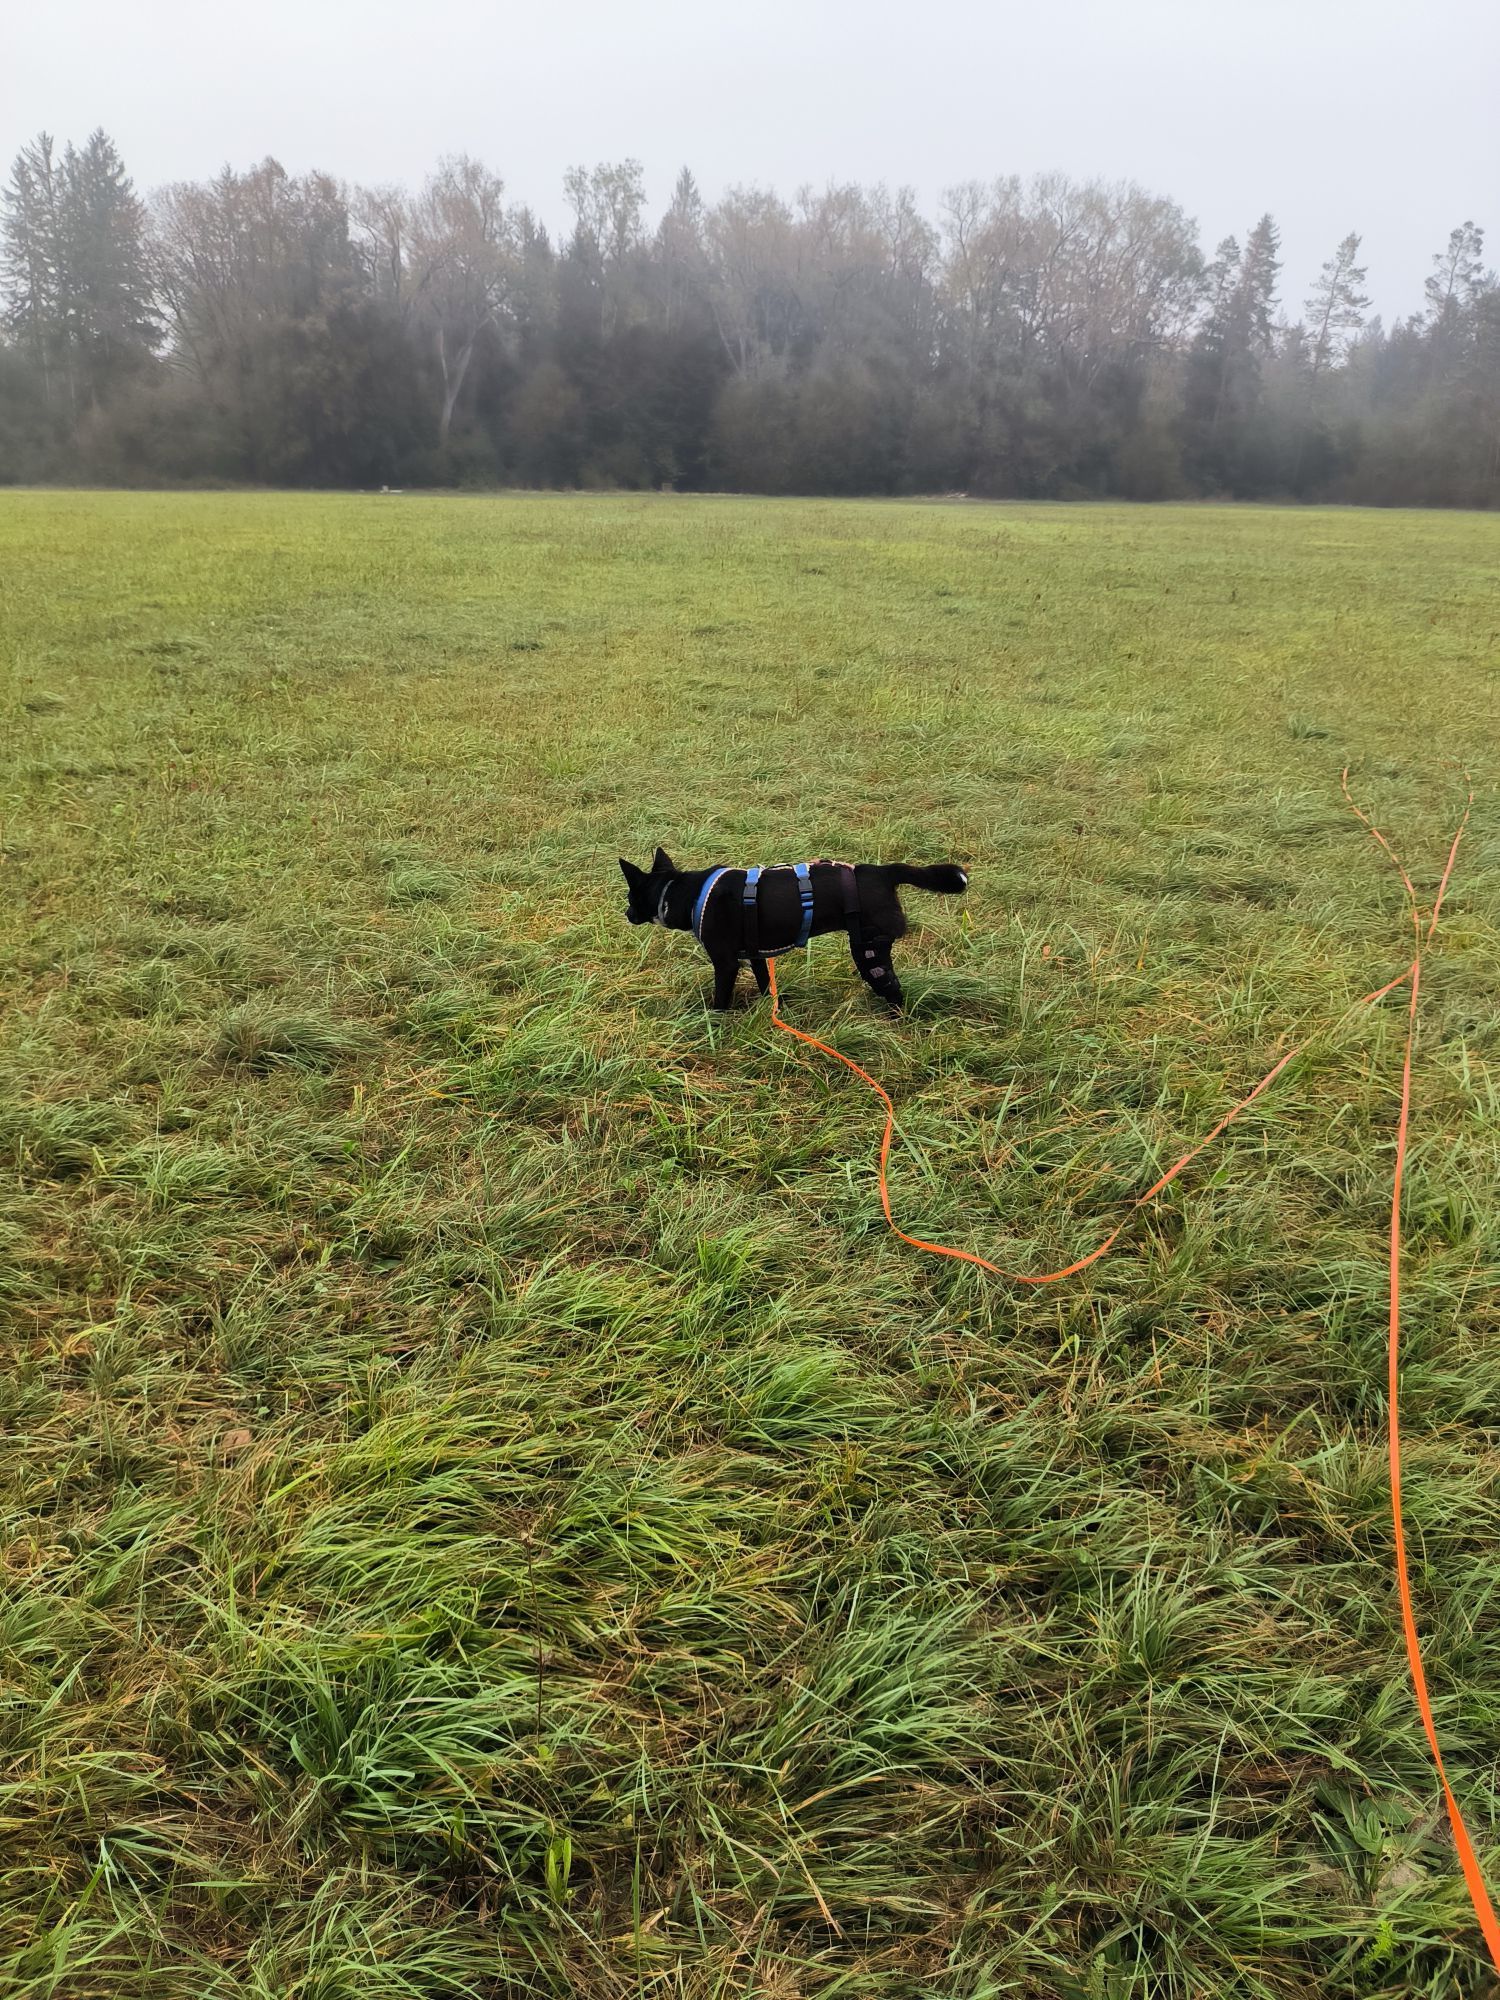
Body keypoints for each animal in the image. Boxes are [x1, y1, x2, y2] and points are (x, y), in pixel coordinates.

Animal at [616, 844, 968, 1008]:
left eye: (630, 896)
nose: (626, 913)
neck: (680, 892)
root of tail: (883, 872)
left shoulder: (726, 964)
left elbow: (720, 1000)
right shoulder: (755, 956)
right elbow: (765, 986)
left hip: (869, 950)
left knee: (894, 991)